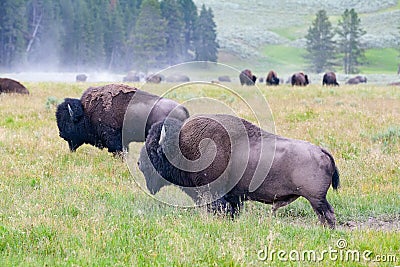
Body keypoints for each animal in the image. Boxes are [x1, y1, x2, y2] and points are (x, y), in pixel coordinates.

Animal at [138, 114, 340, 229]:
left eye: (152, 149)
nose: (139, 163)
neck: (183, 147)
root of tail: (322, 151)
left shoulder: (215, 195)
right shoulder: (233, 198)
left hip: (315, 198)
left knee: (328, 215)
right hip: (317, 200)